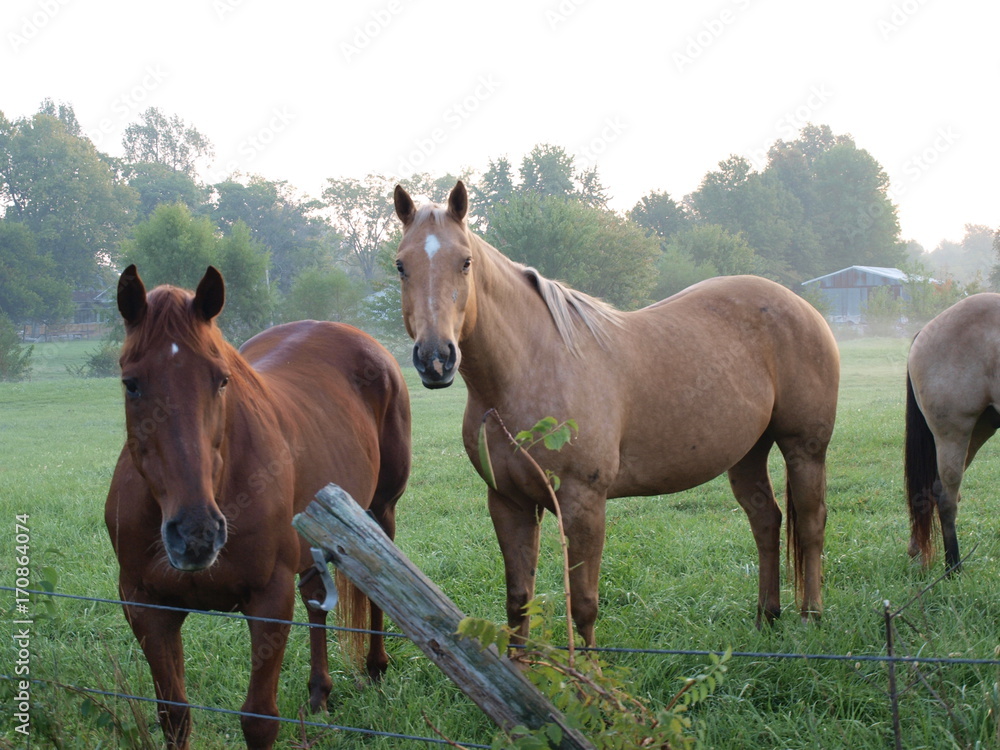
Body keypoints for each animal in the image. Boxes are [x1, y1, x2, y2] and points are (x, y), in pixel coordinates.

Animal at [105, 265, 411, 749]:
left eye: (221, 379)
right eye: (131, 383)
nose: (196, 535)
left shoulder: (268, 598)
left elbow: (259, 719)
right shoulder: (146, 607)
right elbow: (174, 714)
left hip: (380, 513)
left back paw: (376, 667)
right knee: (316, 603)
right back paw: (320, 693)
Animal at [391, 181, 839, 646]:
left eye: (465, 262)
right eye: (401, 266)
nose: (436, 359)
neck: (532, 365)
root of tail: (800, 305)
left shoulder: (583, 503)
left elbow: (584, 606)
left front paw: (588, 668)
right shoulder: (509, 503)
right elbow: (518, 601)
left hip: (804, 448)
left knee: (811, 523)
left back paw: (810, 616)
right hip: (748, 452)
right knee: (766, 521)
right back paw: (766, 616)